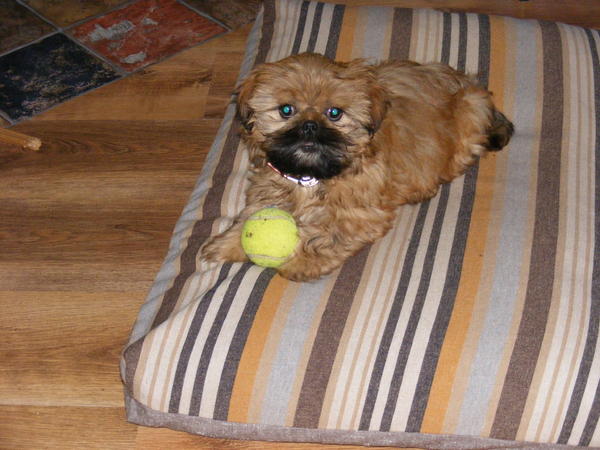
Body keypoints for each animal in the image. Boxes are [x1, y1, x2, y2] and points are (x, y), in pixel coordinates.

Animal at [201, 52, 513, 281]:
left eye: (334, 113)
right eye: (286, 110)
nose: (310, 126)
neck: (312, 177)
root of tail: (466, 83)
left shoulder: (359, 215)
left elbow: (330, 237)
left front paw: (300, 261)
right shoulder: (270, 186)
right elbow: (253, 214)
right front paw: (227, 244)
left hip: (471, 113)